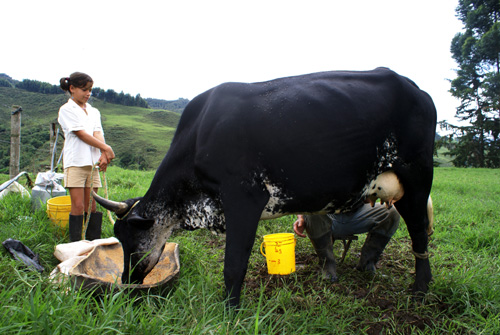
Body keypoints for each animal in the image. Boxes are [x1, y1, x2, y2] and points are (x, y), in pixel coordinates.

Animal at [94, 67, 438, 308]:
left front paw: (230, 312)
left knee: (420, 233)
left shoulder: (243, 197)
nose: (126, 283)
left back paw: (421, 291)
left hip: (417, 177)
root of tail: (415, 88)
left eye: (131, 240)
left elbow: (234, 266)